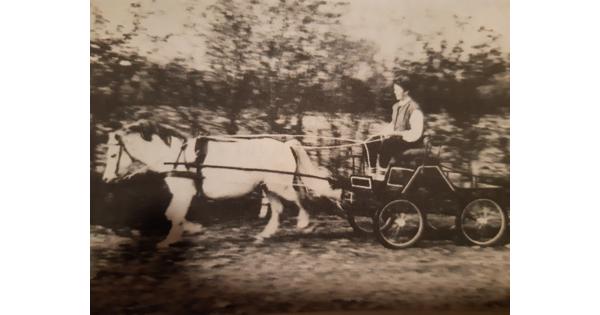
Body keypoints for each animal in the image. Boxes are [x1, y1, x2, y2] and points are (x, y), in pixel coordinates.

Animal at [103, 121, 342, 249]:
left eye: (113, 154)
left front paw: (168, 240)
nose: (105, 180)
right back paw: (264, 235)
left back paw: (304, 223)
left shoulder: (184, 192)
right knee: (278, 209)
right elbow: (174, 214)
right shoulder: (182, 194)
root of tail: (285, 145)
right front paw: (193, 229)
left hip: (279, 184)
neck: (174, 156)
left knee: (299, 199)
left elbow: (174, 215)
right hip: (268, 186)